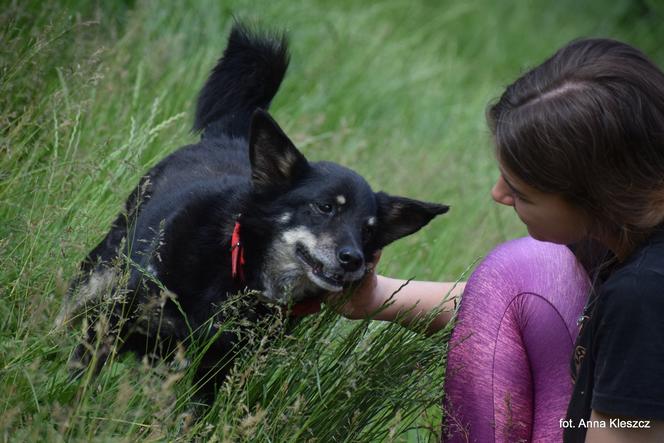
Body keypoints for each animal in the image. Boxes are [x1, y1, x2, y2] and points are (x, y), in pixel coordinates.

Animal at [59, 22, 448, 400]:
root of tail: (229, 136)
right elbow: (81, 376)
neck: (242, 273)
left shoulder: (217, 366)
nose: (353, 260)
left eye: (368, 231)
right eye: (324, 207)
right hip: (101, 271)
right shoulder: (117, 318)